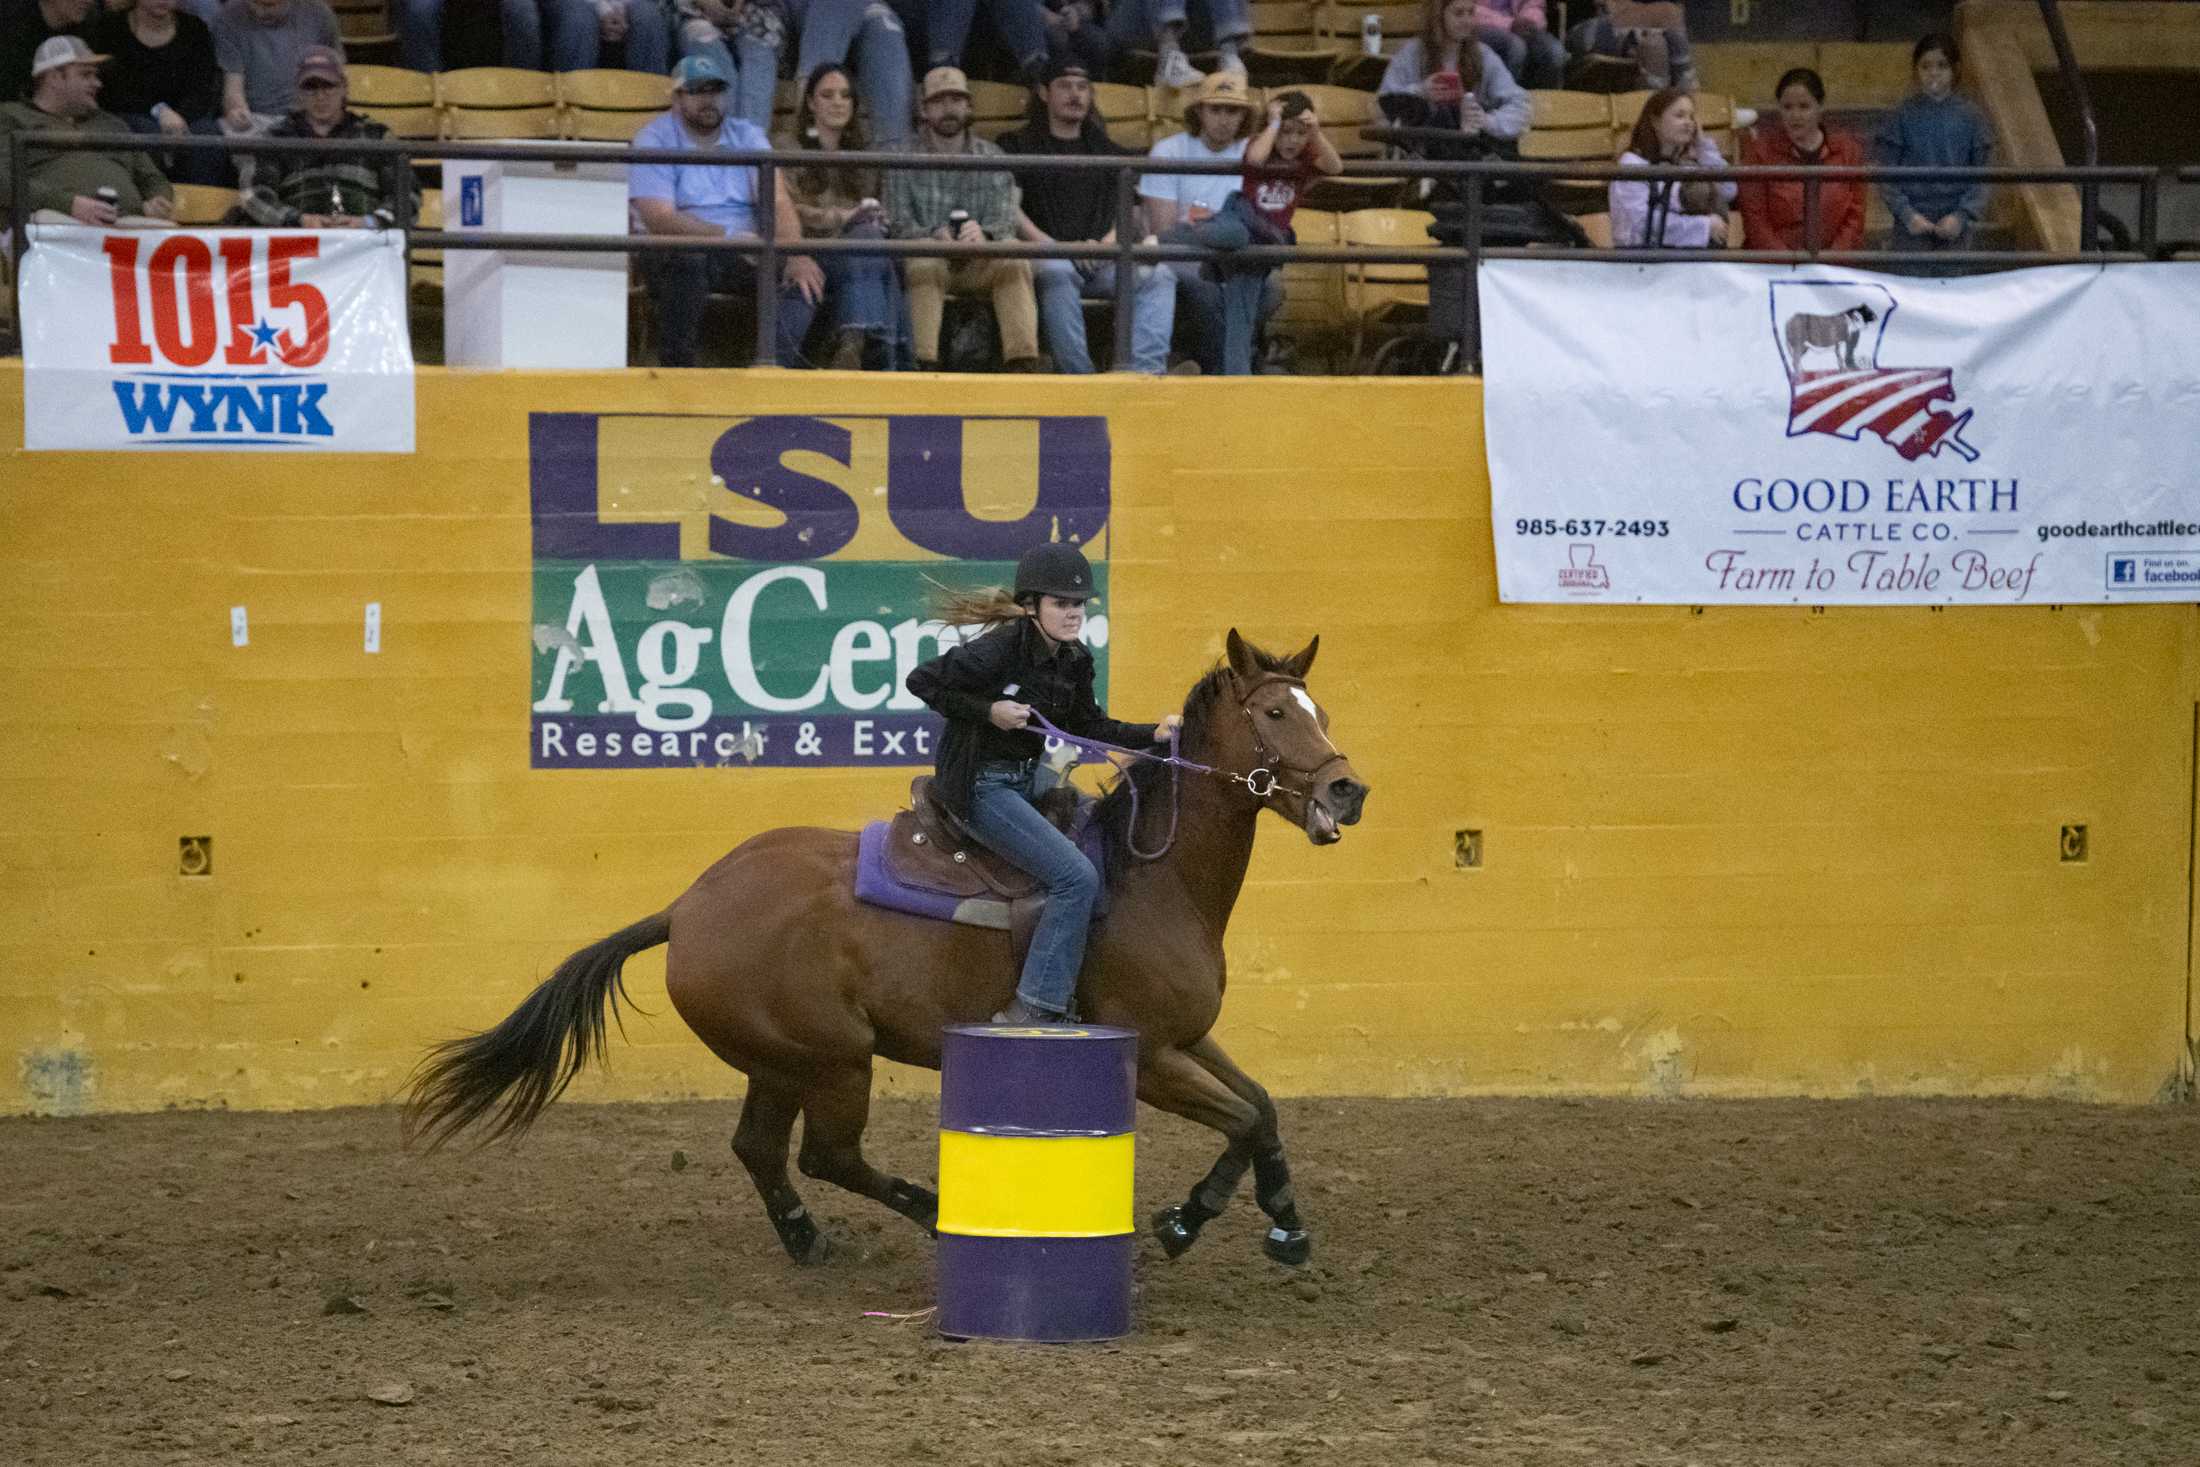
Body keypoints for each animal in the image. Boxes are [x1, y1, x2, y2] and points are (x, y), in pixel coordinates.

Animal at [404, 637, 1364, 1266]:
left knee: (760, 1148)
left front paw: (1283, 1219)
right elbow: (1240, 1117)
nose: (1348, 789)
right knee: (824, 1155)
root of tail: (686, 907)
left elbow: (1263, 1107)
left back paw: (806, 1239)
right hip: (835, 1058)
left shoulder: (1190, 1038)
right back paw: (933, 1212)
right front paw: (1186, 1218)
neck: (1147, 878)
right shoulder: (1152, 1057)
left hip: (781, 1061)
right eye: (1274, 712)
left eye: (1321, 709)